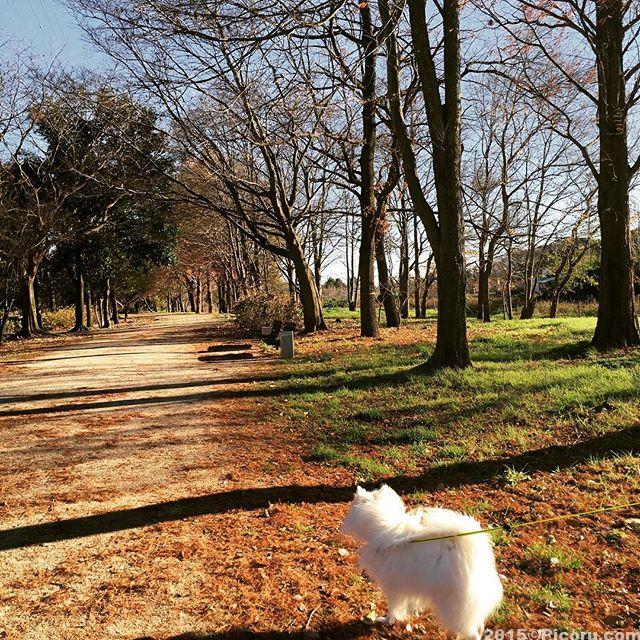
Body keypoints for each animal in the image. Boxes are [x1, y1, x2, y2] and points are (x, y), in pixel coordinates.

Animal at [342, 485, 503, 639]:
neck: (382, 527)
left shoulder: (393, 587)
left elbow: (392, 608)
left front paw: (386, 621)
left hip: (451, 605)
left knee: (471, 632)